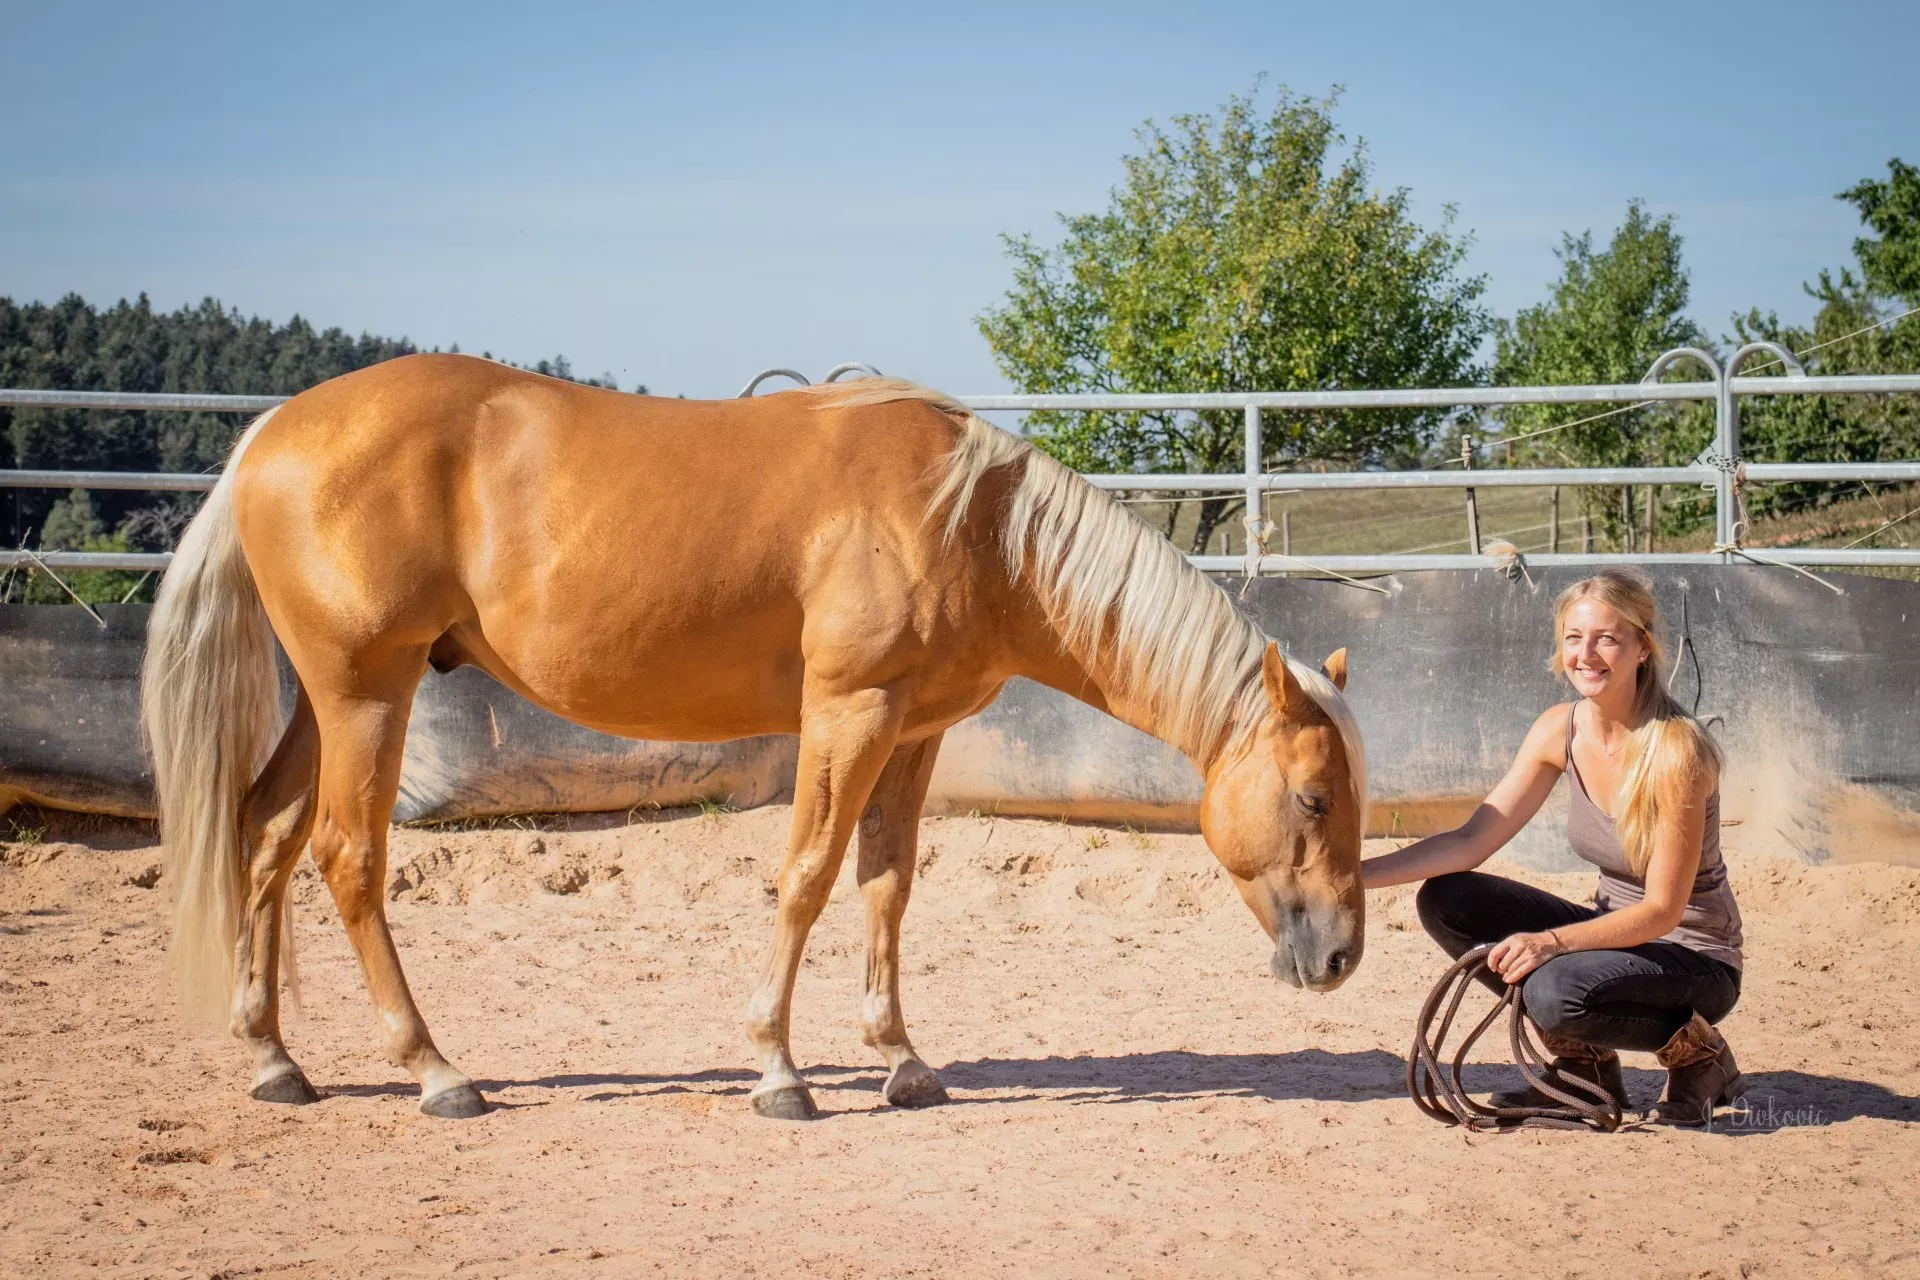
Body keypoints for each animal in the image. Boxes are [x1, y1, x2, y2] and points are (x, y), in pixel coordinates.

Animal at [142, 353, 1374, 1120]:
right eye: (1314, 799)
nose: (1342, 959)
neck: (971, 521)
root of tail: (271, 433)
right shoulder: (848, 713)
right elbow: (809, 874)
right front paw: (779, 1068)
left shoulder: (912, 732)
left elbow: (886, 882)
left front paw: (900, 1057)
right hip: (366, 697)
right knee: (348, 859)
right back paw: (436, 1069)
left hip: (330, 703)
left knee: (264, 838)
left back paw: (275, 1058)